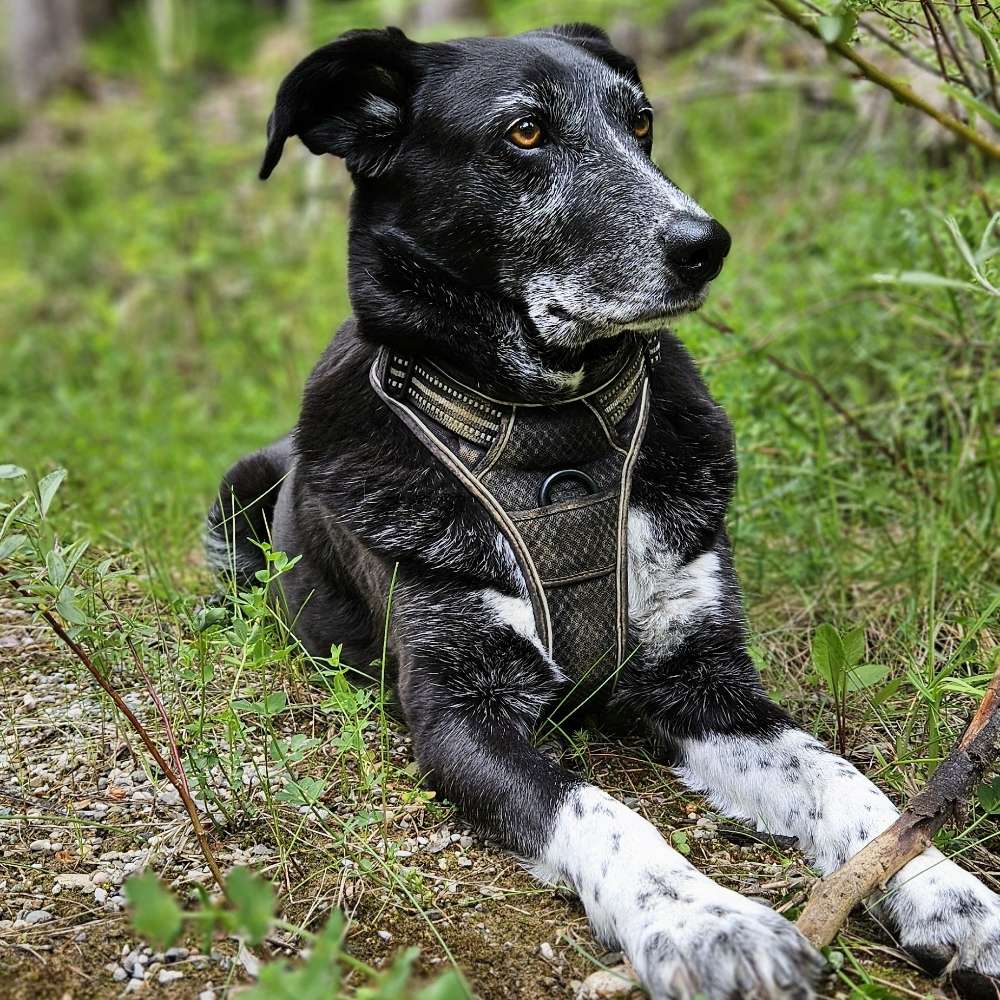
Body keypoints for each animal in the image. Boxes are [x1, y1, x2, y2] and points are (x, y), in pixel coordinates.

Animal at [209, 23, 1000, 1000]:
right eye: (524, 132)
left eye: (642, 121)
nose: (706, 243)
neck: (553, 440)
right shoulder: (460, 712)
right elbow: (600, 809)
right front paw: (711, 925)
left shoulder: (706, 679)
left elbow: (846, 783)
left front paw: (951, 895)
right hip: (241, 490)